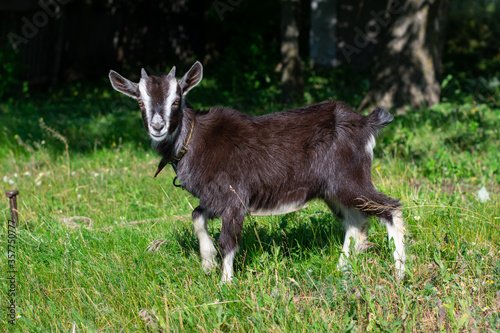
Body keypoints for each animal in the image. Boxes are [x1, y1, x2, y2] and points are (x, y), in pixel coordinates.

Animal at [109, 61, 406, 280]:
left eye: (176, 100)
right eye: (140, 102)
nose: (157, 127)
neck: (195, 140)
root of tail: (366, 123)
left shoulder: (235, 196)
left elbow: (228, 241)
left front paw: (225, 284)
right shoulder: (215, 197)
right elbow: (196, 216)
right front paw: (207, 261)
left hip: (351, 179)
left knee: (390, 208)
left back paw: (400, 272)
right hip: (332, 189)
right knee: (356, 220)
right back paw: (342, 268)